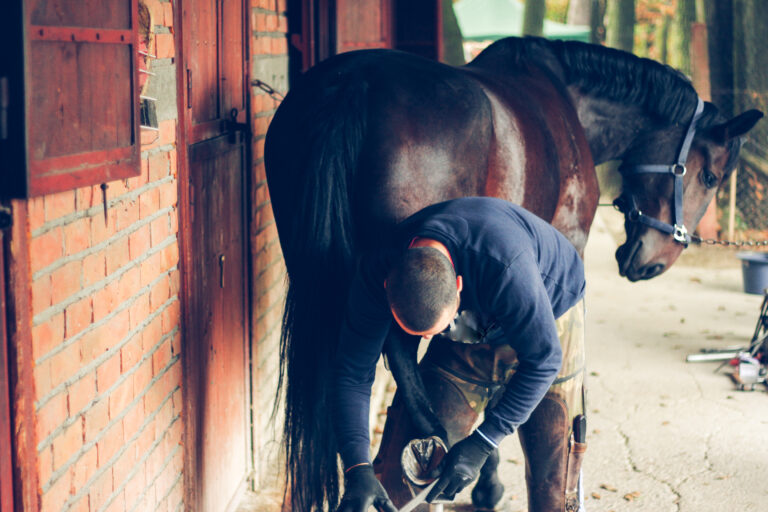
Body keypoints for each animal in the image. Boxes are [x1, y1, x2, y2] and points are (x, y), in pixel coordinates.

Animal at [264, 36, 762, 511]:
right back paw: (433, 442)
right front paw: (488, 484)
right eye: (711, 177)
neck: (569, 98)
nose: (650, 262)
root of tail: (354, 84)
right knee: (403, 362)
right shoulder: (566, 245)